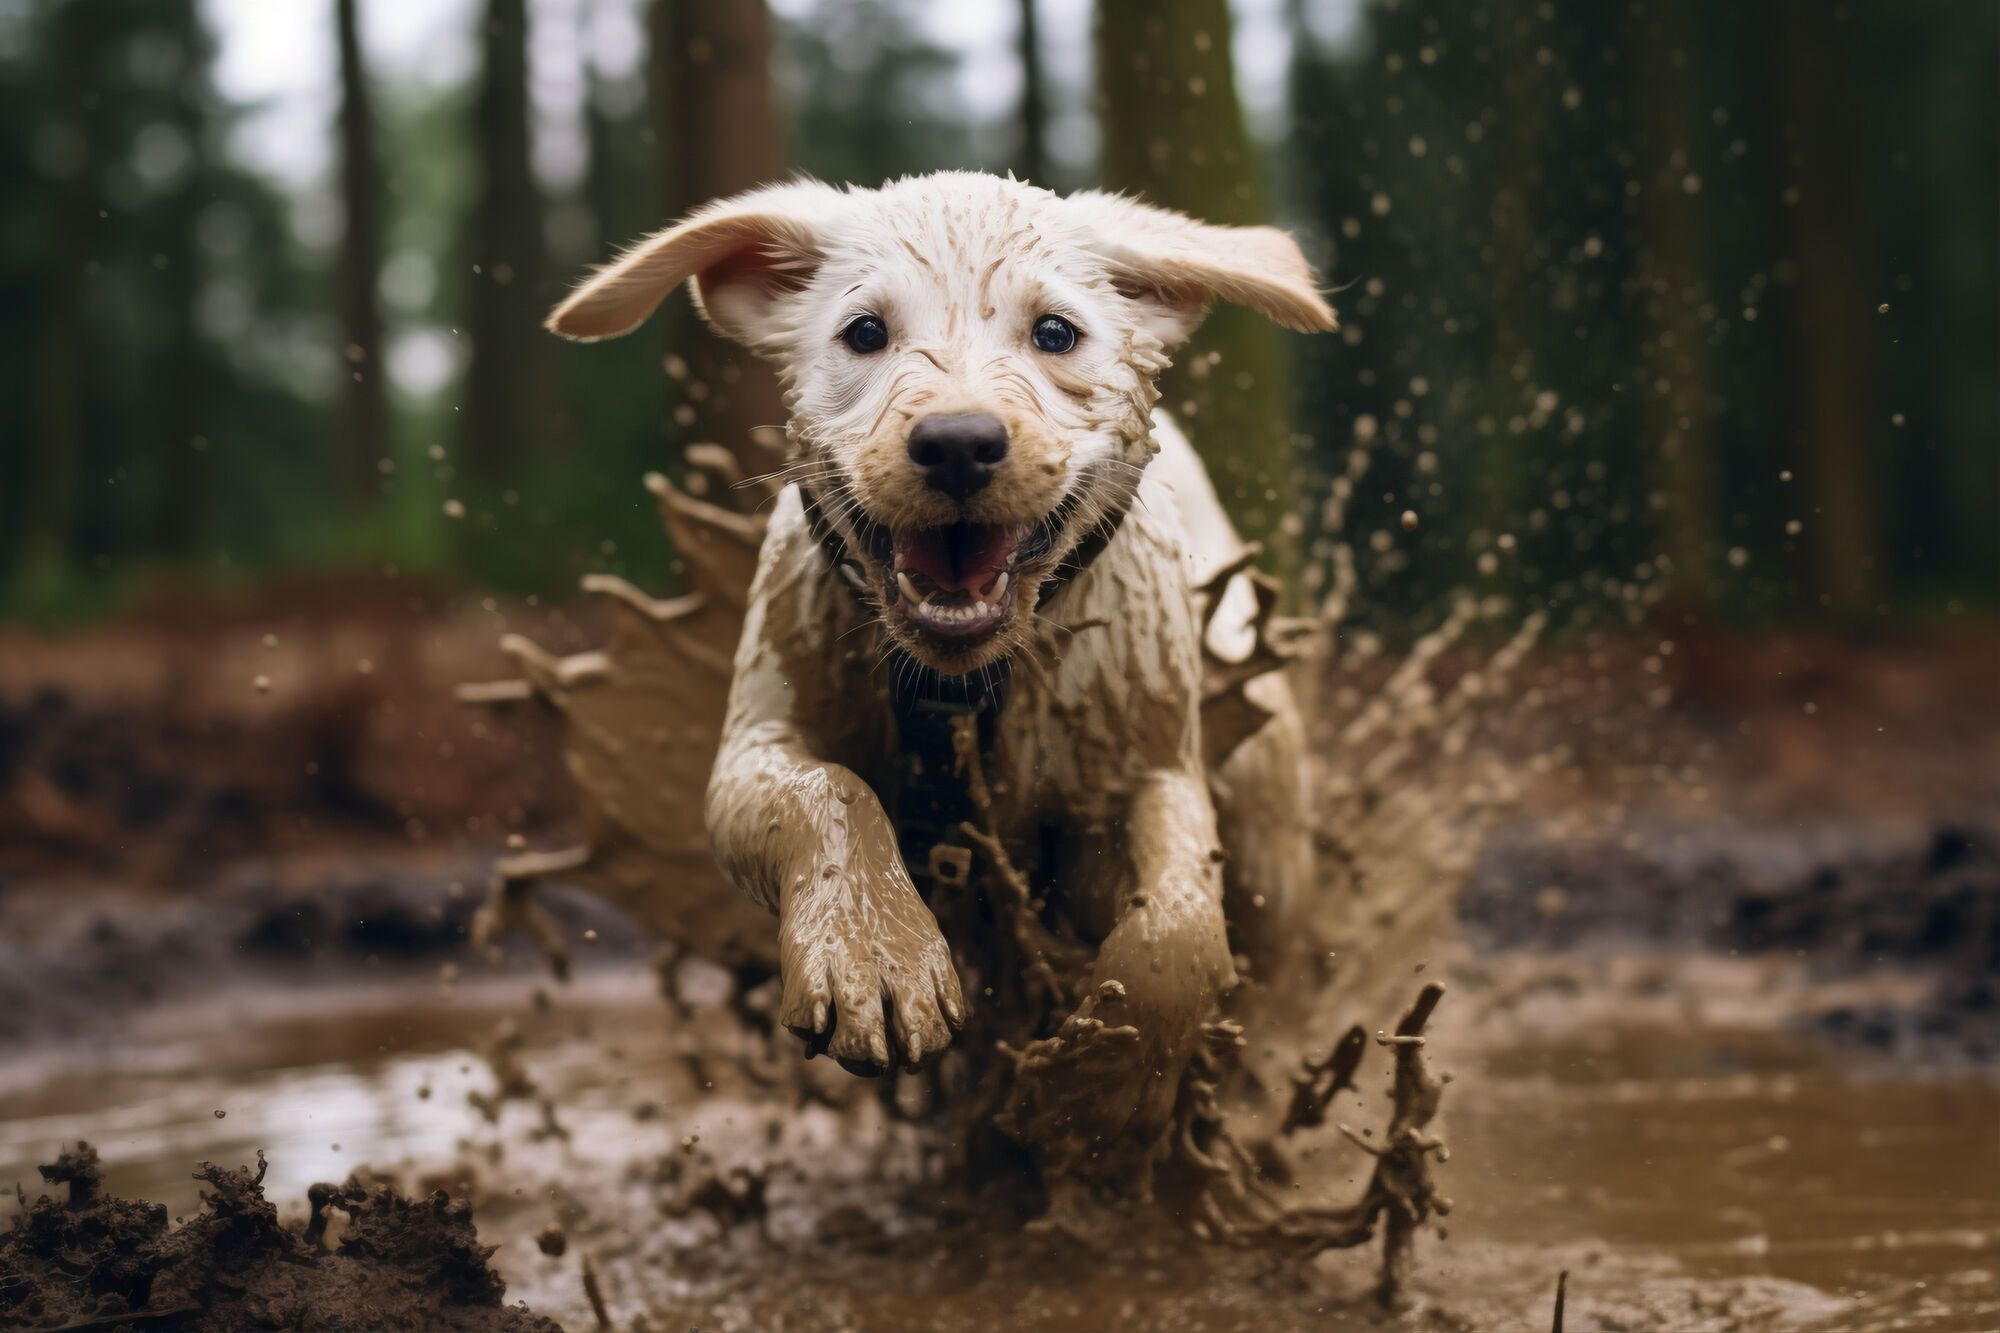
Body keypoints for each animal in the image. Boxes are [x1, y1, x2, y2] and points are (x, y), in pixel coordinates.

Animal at [540, 171, 1336, 1176]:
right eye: (864, 332)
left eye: (1055, 332)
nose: (958, 441)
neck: (961, 685)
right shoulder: (753, 744)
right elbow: (828, 790)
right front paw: (874, 957)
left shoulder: (1154, 766)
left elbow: (1180, 925)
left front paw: (1102, 1091)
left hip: (1268, 807)